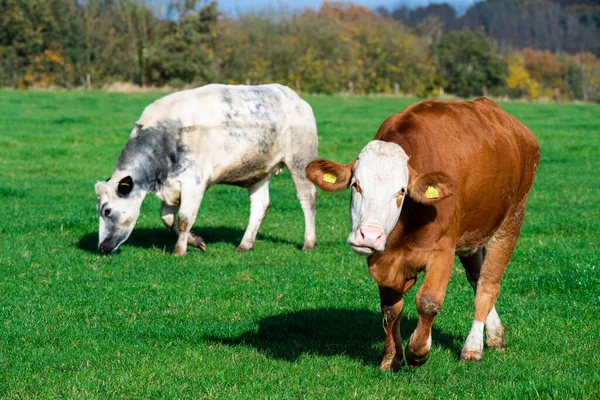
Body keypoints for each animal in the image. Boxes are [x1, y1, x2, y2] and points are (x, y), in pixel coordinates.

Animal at [95, 83, 318, 256]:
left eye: (107, 210)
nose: (102, 247)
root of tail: (295, 97)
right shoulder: (172, 186)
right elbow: (167, 218)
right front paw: (195, 241)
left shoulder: (194, 181)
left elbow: (184, 218)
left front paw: (179, 251)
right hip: (259, 171)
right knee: (260, 205)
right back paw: (245, 245)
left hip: (300, 160)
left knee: (307, 198)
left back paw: (308, 242)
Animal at [304, 98, 540, 370]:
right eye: (356, 185)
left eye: (401, 191)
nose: (369, 236)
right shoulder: (384, 260)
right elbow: (390, 309)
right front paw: (391, 358)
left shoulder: (443, 250)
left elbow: (428, 302)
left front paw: (418, 351)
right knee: (476, 277)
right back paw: (494, 335)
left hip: (511, 220)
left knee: (487, 286)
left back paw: (472, 347)